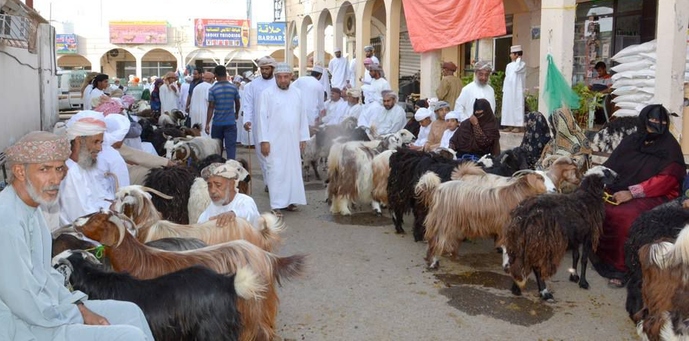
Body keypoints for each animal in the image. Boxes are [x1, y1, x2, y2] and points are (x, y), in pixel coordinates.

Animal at [416, 170, 552, 268]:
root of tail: (436, 189)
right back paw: (434, 263)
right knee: (435, 241)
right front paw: (507, 265)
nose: (554, 189)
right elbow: (506, 247)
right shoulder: (506, 227)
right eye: (540, 178)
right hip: (443, 222)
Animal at [500, 166, 620, 302]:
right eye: (607, 172)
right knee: (536, 266)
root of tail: (524, 214)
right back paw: (544, 292)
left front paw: (574, 276)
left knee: (517, 262)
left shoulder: (575, 236)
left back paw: (516, 288)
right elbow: (584, 259)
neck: (588, 195)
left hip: (522, 240)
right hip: (541, 242)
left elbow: (576, 256)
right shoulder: (588, 235)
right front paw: (583, 282)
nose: (618, 176)